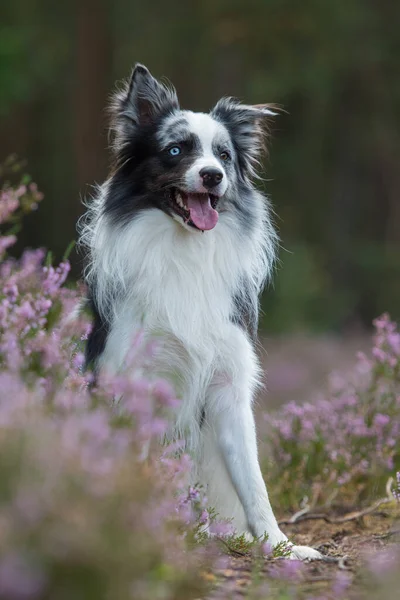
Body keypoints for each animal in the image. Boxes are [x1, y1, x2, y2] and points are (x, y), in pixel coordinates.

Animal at [78, 63, 322, 560]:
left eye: (224, 155)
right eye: (175, 150)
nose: (212, 175)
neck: (184, 251)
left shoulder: (229, 385)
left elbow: (254, 482)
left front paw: (281, 547)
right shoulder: (133, 379)